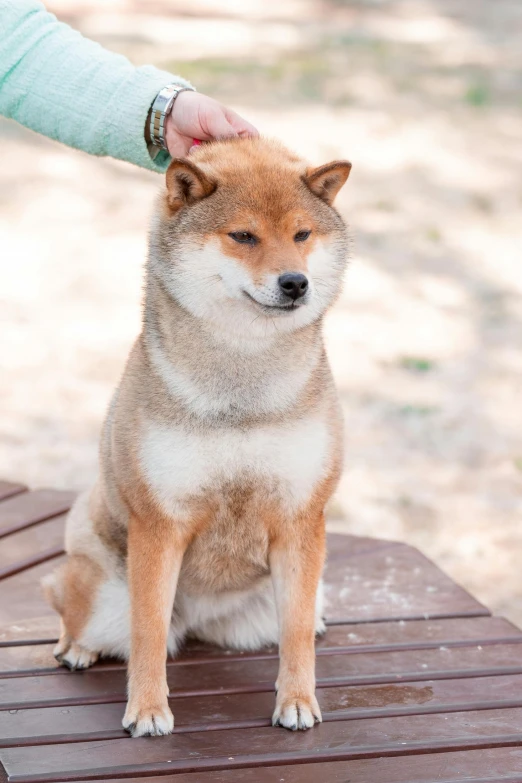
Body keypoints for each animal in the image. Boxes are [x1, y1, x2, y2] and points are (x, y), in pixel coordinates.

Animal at [41, 138, 350, 740]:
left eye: (302, 235)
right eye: (244, 236)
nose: (295, 283)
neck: (242, 384)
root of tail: (201, 619)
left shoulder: (300, 518)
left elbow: (297, 634)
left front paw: (298, 701)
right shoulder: (160, 524)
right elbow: (148, 633)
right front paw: (147, 710)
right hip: (102, 589)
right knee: (71, 603)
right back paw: (75, 649)